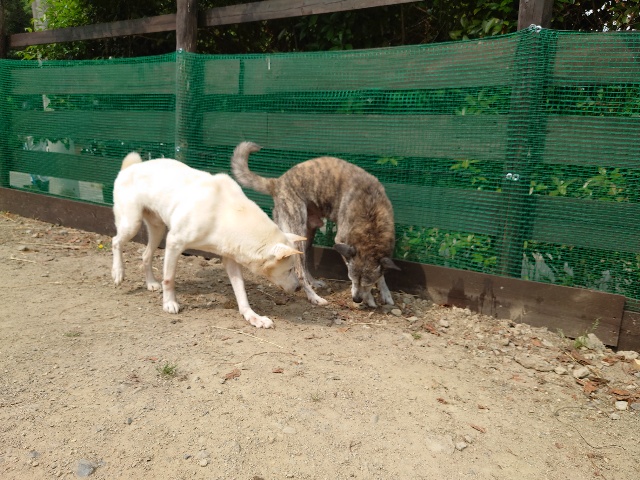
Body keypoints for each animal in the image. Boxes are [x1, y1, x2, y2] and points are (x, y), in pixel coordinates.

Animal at [111, 152, 305, 328]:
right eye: (289, 269)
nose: (299, 288)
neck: (226, 213)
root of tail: (131, 167)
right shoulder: (174, 243)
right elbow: (169, 279)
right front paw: (169, 303)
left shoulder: (230, 259)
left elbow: (241, 292)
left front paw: (252, 316)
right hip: (132, 223)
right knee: (115, 241)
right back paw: (118, 272)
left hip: (157, 230)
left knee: (145, 255)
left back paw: (151, 283)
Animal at [231, 142, 400, 307]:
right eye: (351, 279)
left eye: (367, 282)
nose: (356, 299)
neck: (371, 216)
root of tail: (277, 182)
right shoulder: (341, 241)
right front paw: (370, 298)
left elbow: (382, 272)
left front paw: (385, 293)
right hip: (297, 230)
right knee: (299, 271)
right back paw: (314, 297)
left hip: (308, 234)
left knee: (305, 265)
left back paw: (314, 283)